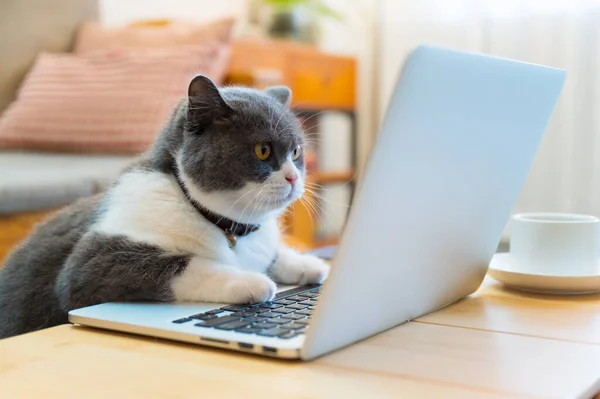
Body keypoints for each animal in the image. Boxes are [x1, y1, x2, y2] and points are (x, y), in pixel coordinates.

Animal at [0, 74, 328, 338]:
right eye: (263, 150)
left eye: (296, 152)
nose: (293, 177)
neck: (222, 225)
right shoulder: (93, 265)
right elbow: (184, 264)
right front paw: (250, 281)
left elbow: (273, 254)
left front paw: (307, 264)